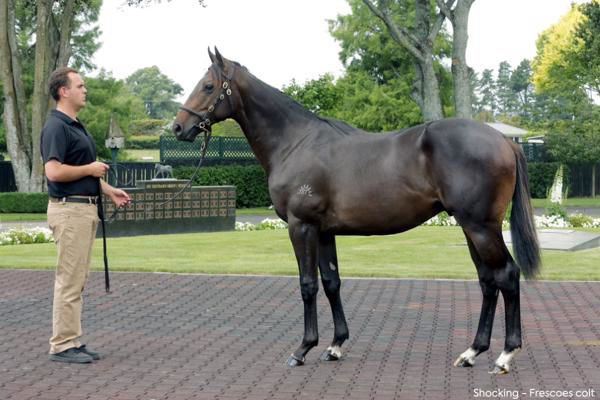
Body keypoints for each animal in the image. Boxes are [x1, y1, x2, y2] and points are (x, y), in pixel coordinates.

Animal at [172, 49, 540, 376]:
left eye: (208, 86)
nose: (178, 127)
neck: (295, 143)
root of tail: (506, 141)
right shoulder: (324, 232)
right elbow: (332, 282)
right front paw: (335, 345)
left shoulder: (301, 227)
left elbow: (308, 284)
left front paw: (302, 349)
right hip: (470, 228)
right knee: (488, 281)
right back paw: (472, 352)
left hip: (481, 227)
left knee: (507, 275)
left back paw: (504, 356)